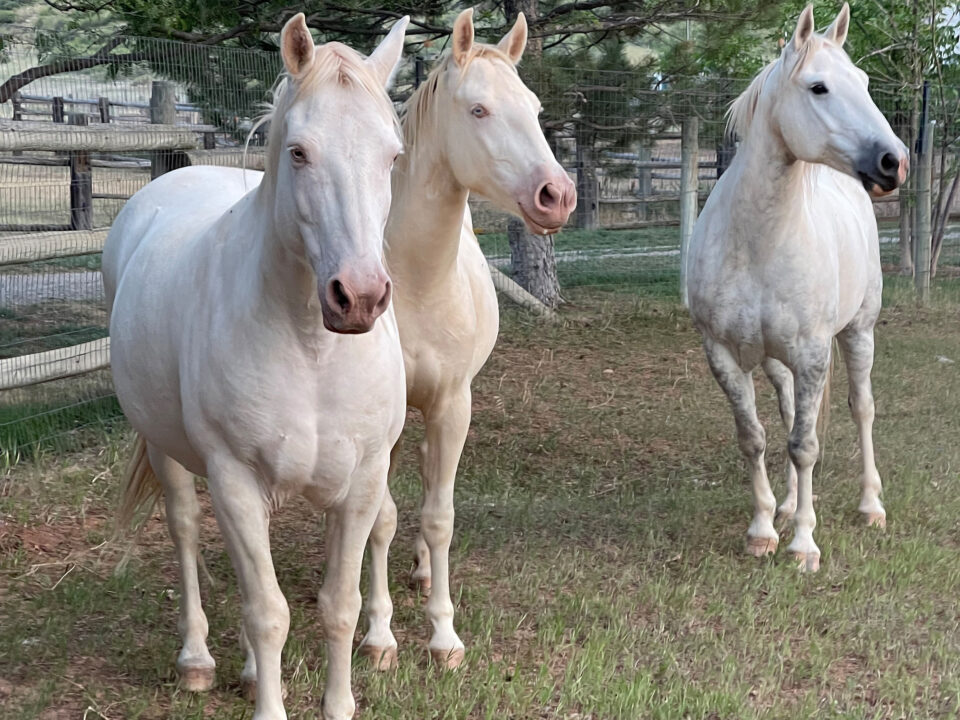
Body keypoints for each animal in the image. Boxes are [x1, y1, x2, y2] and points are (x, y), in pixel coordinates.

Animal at [104, 14, 408, 716]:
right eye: (298, 151)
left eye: (393, 155)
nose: (358, 297)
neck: (312, 349)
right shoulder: (235, 479)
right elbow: (268, 613)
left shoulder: (361, 480)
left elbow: (339, 606)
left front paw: (338, 701)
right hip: (167, 452)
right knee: (187, 531)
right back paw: (197, 660)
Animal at [356, 7, 572, 668]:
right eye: (478, 109)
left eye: (533, 106)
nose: (558, 196)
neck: (418, 284)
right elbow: (380, 518)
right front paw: (379, 635)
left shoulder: (453, 404)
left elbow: (440, 516)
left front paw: (443, 635)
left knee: (430, 483)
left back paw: (425, 570)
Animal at [688, 1, 908, 572]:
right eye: (819, 87)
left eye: (865, 82)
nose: (894, 162)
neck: (758, 244)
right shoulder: (724, 354)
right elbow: (756, 438)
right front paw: (764, 529)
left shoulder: (813, 353)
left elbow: (804, 445)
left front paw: (805, 545)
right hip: (773, 359)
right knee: (789, 412)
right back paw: (788, 505)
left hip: (858, 333)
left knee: (861, 407)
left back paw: (870, 506)